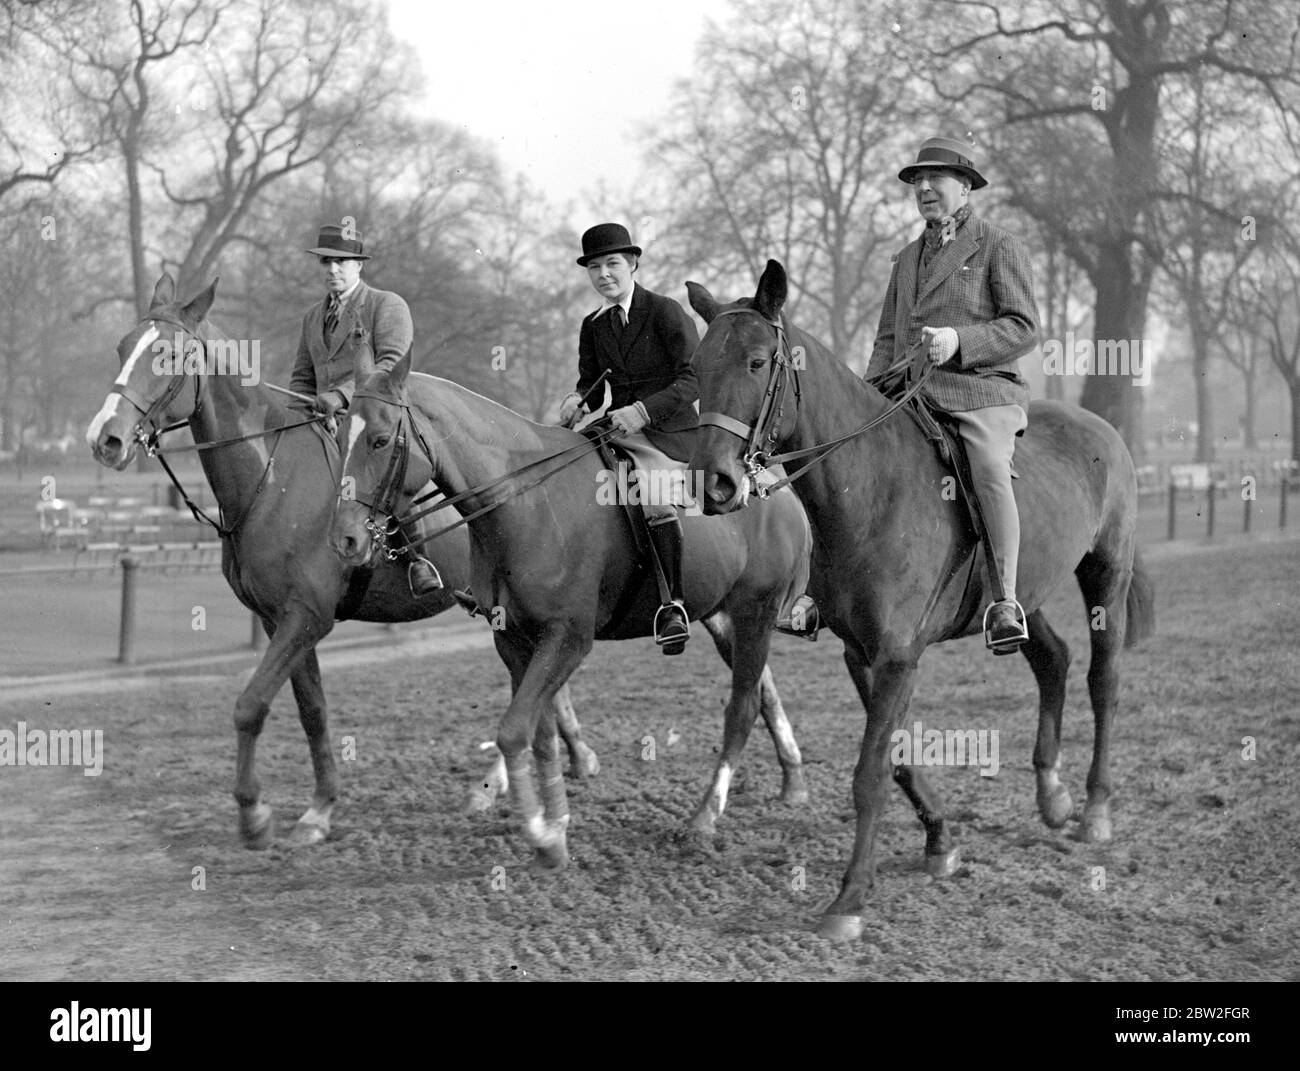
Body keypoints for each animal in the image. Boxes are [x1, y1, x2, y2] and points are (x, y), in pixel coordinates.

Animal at [87, 271, 598, 847]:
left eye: (169, 355)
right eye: (123, 347)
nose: (105, 439)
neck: (271, 476)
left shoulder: (305, 617)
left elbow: (250, 705)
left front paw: (254, 814)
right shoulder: (279, 622)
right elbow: (312, 711)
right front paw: (320, 807)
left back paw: (509, 781)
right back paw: (558, 761)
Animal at [335, 350, 816, 868]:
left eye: (380, 439)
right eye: (341, 436)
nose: (346, 540)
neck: (524, 499)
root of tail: (770, 485)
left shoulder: (567, 637)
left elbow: (514, 731)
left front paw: (542, 838)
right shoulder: (514, 640)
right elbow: (539, 735)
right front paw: (556, 829)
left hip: (755, 613)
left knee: (742, 708)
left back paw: (704, 818)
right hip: (725, 617)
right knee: (763, 691)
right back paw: (793, 782)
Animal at [686, 263, 1154, 941]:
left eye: (754, 361)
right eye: (697, 366)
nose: (713, 483)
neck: (870, 486)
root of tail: (1098, 428)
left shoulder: (897, 656)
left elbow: (869, 773)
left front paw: (849, 898)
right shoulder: (863, 655)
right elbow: (899, 758)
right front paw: (941, 842)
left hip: (1105, 576)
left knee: (1103, 679)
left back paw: (1095, 808)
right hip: (1023, 591)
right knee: (1052, 661)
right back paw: (1052, 794)